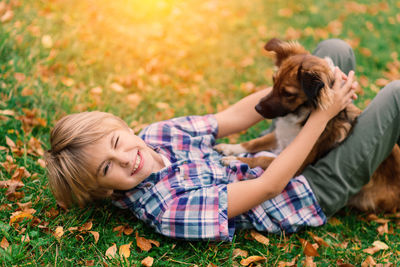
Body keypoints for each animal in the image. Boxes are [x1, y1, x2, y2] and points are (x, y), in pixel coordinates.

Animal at [216, 38, 400, 214]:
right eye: (273, 81)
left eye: (288, 94)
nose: (257, 108)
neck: (301, 114)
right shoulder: (281, 136)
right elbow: (254, 142)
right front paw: (229, 148)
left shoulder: (296, 165)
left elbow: (262, 158)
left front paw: (234, 160)